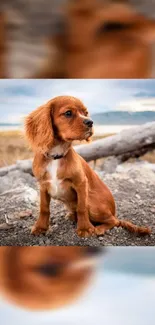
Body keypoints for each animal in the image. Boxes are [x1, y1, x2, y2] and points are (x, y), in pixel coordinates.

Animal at [24, 95, 151, 237]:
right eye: (68, 113)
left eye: (86, 113)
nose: (90, 122)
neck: (56, 155)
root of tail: (113, 211)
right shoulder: (42, 185)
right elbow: (44, 208)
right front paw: (40, 227)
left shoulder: (81, 183)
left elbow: (82, 207)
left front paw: (84, 228)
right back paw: (72, 216)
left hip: (93, 202)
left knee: (115, 221)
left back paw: (98, 228)